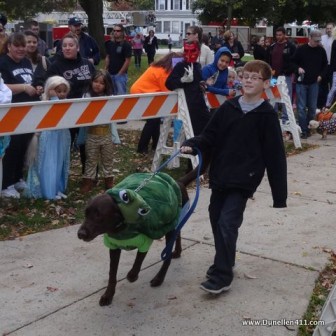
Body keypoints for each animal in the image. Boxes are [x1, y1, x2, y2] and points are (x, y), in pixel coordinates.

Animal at [77, 156, 207, 306]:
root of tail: (179, 182)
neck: (121, 227)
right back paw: (177, 252)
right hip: (175, 225)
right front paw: (108, 295)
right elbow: (112, 274)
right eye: (86, 213)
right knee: (178, 236)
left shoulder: (145, 241)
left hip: (170, 227)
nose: (80, 234)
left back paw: (159, 278)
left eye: (99, 215)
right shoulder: (114, 247)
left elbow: (138, 261)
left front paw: (132, 275)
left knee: (167, 256)